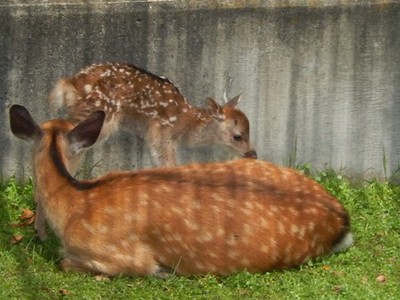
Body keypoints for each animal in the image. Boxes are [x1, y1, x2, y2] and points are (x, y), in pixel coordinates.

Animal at [49, 62, 256, 166]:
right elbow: (168, 164)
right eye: (237, 136)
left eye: (250, 130)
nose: (253, 153)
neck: (186, 123)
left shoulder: (147, 135)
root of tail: (70, 84)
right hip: (98, 115)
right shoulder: (161, 133)